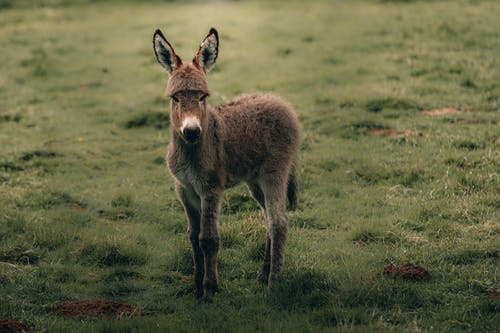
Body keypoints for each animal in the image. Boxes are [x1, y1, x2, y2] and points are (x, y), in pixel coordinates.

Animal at [152, 27, 300, 300]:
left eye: (203, 96)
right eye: (175, 98)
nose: (191, 132)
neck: (192, 151)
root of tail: (281, 102)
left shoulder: (210, 188)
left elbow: (208, 239)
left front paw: (209, 291)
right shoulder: (184, 189)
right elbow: (193, 236)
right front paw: (197, 287)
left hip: (274, 173)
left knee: (279, 223)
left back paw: (273, 285)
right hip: (255, 181)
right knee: (268, 220)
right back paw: (263, 274)